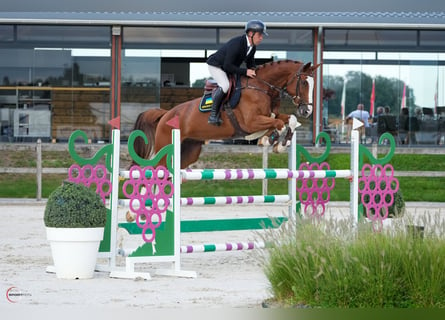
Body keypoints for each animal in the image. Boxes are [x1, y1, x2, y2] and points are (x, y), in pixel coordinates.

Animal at [132, 60, 320, 170]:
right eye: (304, 83)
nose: (307, 111)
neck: (261, 87)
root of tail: (165, 114)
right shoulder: (251, 123)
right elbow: (278, 125)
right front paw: (271, 139)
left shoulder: (272, 115)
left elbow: (290, 120)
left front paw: (281, 144)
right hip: (165, 146)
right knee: (154, 170)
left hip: (188, 150)